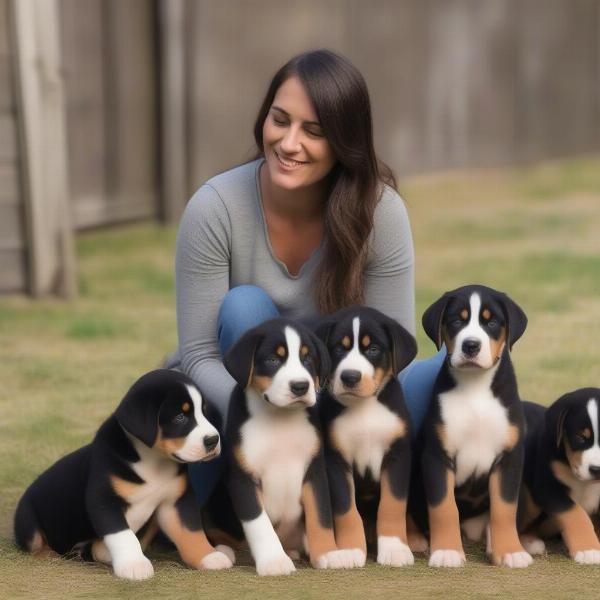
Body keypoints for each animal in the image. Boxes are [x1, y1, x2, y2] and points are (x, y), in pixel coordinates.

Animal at [13, 368, 234, 580]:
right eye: (180, 417)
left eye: (203, 412)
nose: (213, 440)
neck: (153, 461)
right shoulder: (104, 499)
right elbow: (123, 535)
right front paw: (134, 565)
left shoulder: (175, 501)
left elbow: (190, 531)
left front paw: (208, 556)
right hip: (28, 520)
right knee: (36, 545)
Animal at [220, 318, 360, 576]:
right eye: (273, 360)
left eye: (307, 359)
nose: (300, 386)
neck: (280, 418)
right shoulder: (242, 477)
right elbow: (259, 523)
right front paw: (274, 561)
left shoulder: (314, 471)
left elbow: (320, 517)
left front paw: (328, 553)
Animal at [314, 310, 418, 568]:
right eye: (338, 349)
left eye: (372, 349)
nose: (350, 377)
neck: (364, 408)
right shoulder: (336, 460)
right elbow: (346, 510)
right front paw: (350, 549)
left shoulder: (397, 454)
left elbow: (393, 505)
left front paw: (394, 548)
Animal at [412, 284, 536, 568]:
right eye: (457, 321)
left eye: (491, 322)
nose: (471, 345)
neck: (476, 386)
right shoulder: (436, 456)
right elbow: (444, 507)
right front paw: (446, 551)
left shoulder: (510, 458)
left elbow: (504, 508)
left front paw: (509, 551)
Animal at [516, 390, 600, 564]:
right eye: (580, 438)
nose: (597, 469)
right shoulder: (548, 487)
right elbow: (575, 513)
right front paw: (588, 549)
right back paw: (530, 543)